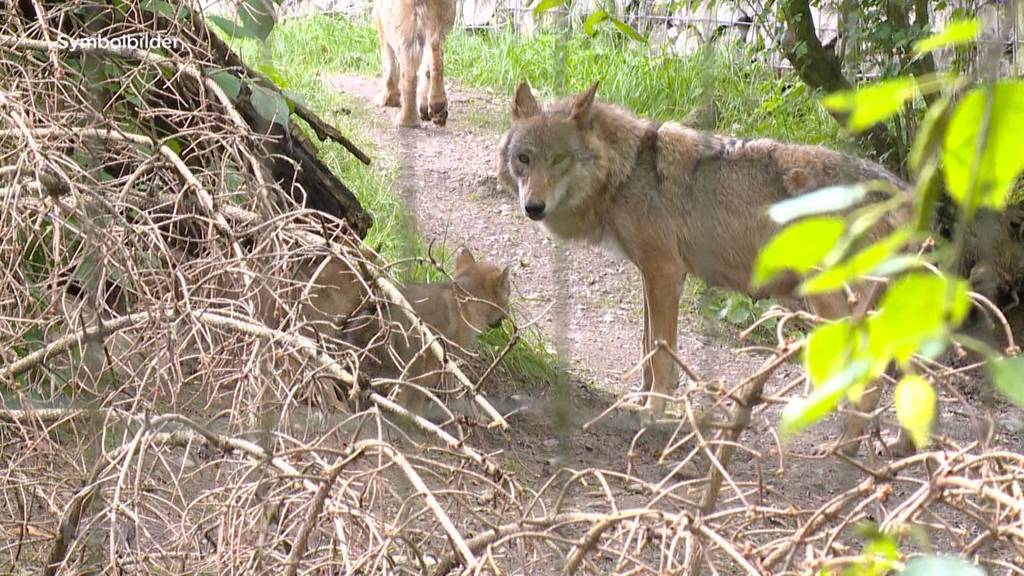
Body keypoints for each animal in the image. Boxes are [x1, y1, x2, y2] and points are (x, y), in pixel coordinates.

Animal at [495, 83, 905, 453]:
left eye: (559, 159)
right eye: (524, 159)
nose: (533, 207)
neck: (627, 171)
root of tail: (901, 192)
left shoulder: (664, 273)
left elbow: (661, 356)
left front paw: (653, 413)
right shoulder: (649, 274)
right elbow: (646, 349)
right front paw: (639, 401)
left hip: (832, 309)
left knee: (872, 383)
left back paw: (845, 449)